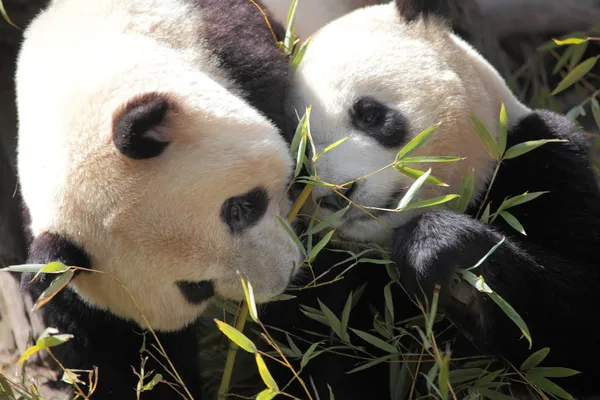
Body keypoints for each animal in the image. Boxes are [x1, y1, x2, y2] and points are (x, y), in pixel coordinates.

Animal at [262, 0, 600, 400]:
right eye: (301, 151)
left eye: (370, 114)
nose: (340, 193)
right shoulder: (314, 275)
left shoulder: (542, 163)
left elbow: (569, 332)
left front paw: (437, 251)